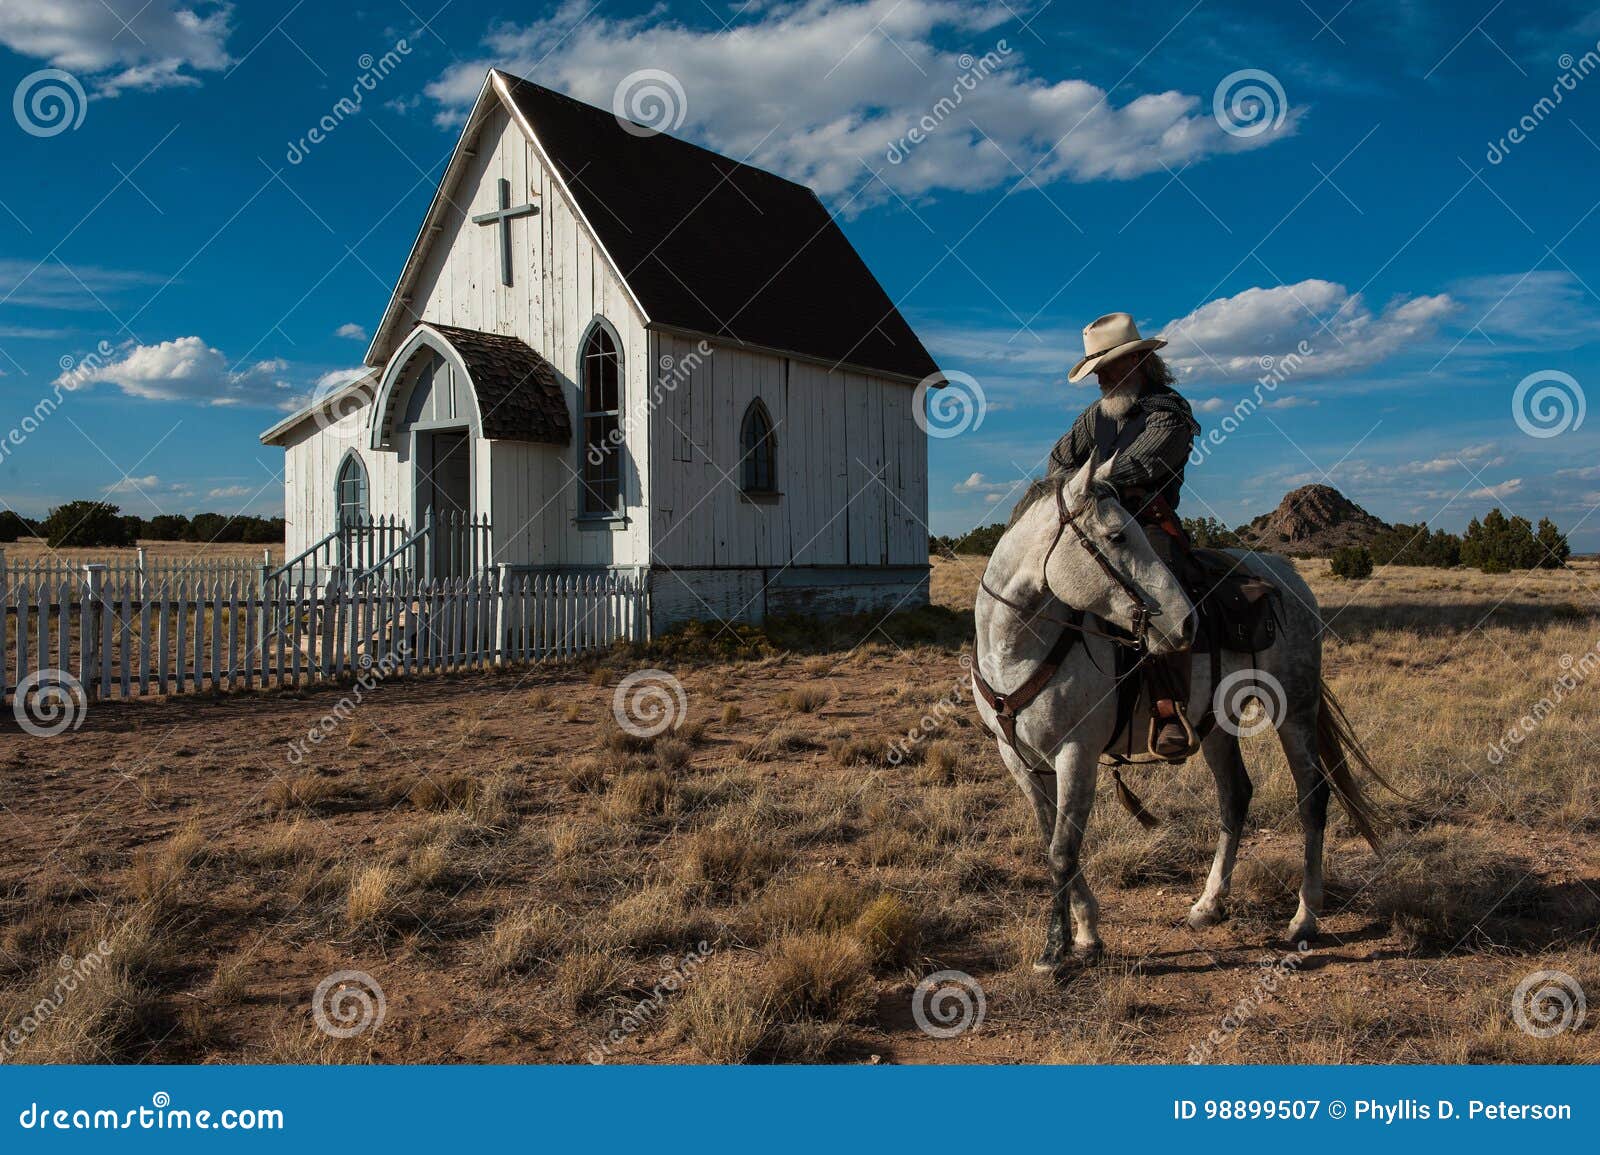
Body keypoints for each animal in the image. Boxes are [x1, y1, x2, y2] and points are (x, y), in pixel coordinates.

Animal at [972, 454, 1388, 966]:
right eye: (1117, 536)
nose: (1187, 622)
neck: (1016, 647)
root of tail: (1285, 572)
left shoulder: (1076, 753)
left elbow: (1062, 850)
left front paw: (1056, 949)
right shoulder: (1020, 759)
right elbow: (1051, 840)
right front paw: (1087, 933)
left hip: (1295, 712)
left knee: (1312, 797)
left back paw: (1304, 917)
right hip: (1216, 723)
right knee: (1235, 795)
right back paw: (1209, 905)